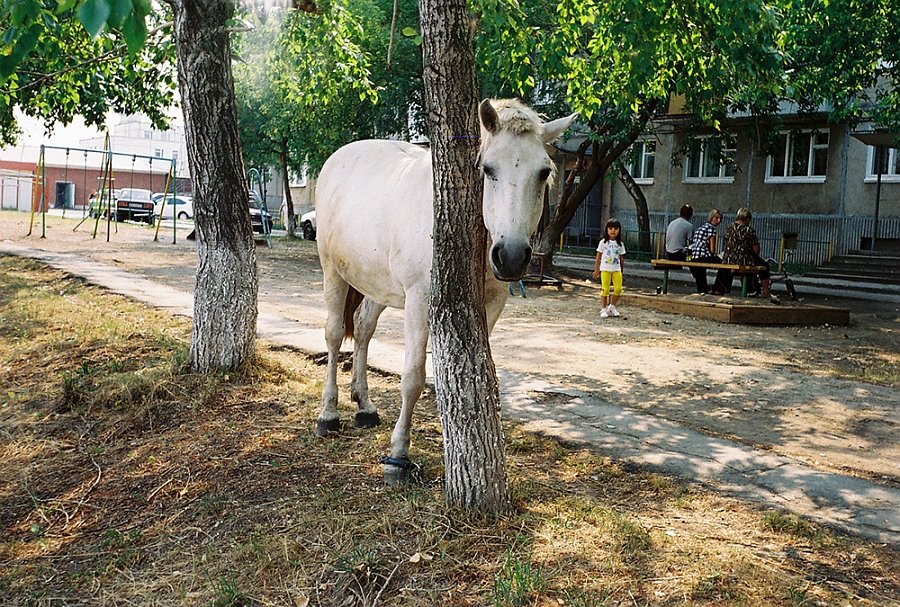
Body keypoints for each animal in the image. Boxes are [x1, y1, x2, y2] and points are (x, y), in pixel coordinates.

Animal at [312, 100, 572, 478]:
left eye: (542, 172)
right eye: (488, 169)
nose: (511, 256)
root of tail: (337, 158)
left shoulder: (491, 305)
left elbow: (477, 378)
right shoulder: (420, 301)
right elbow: (413, 378)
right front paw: (399, 454)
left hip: (376, 286)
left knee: (362, 330)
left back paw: (365, 406)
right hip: (333, 272)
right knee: (333, 335)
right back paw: (328, 414)